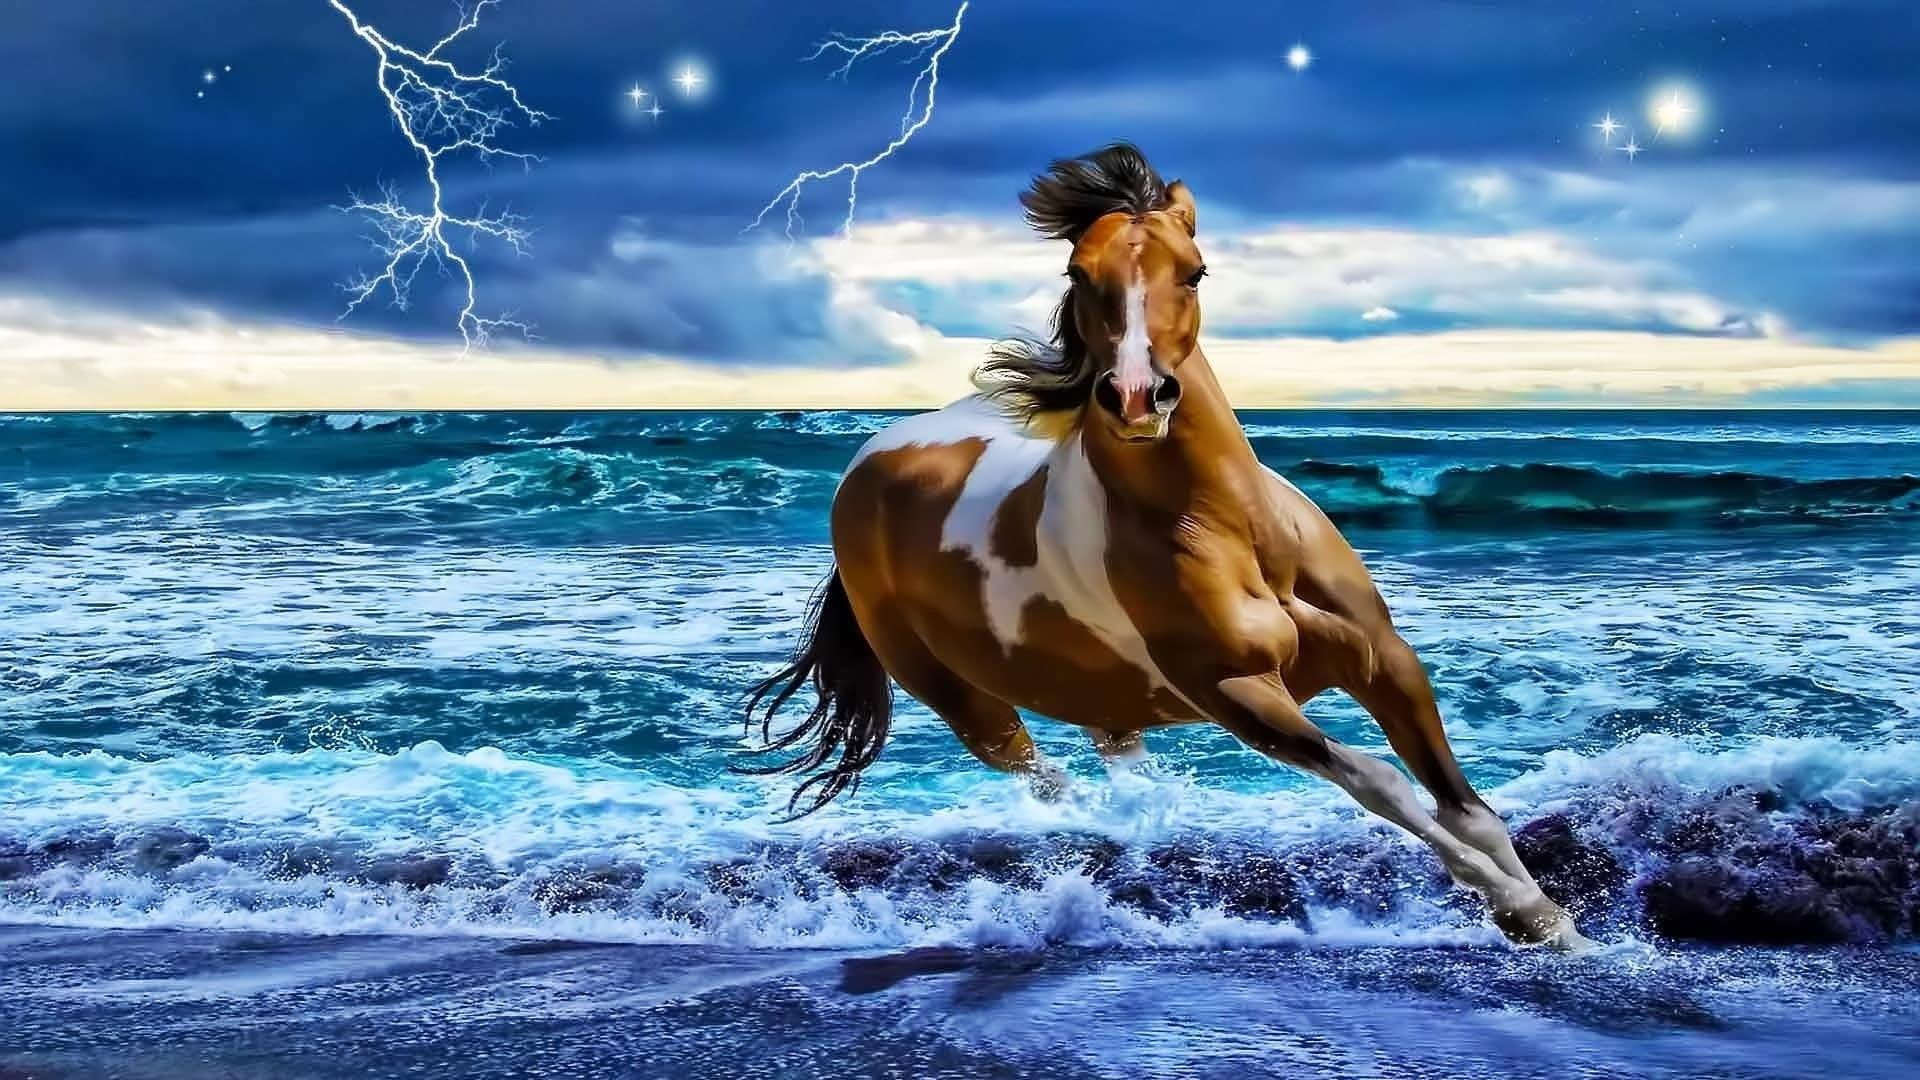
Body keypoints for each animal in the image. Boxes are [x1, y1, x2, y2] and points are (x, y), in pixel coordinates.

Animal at [744, 144, 1590, 950]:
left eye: (1195, 270)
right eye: (1079, 273)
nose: (1136, 396)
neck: (1234, 533)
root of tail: (866, 466)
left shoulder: (1385, 659)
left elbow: (1467, 808)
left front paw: (1563, 925)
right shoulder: (1238, 693)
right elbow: (1380, 782)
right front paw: (1529, 916)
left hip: (1098, 694)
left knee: (1115, 759)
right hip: (964, 700)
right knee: (1046, 778)